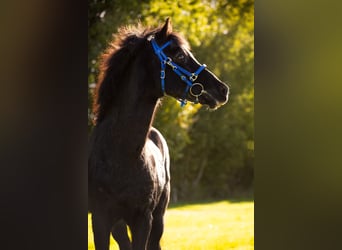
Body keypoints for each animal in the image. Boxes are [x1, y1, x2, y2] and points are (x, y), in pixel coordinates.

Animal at [88, 18, 228, 250]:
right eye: (179, 55)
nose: (222, 89)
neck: (118, 156)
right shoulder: (100, 219)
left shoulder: (143, 219)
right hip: (120, 224)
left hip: (158, 218)